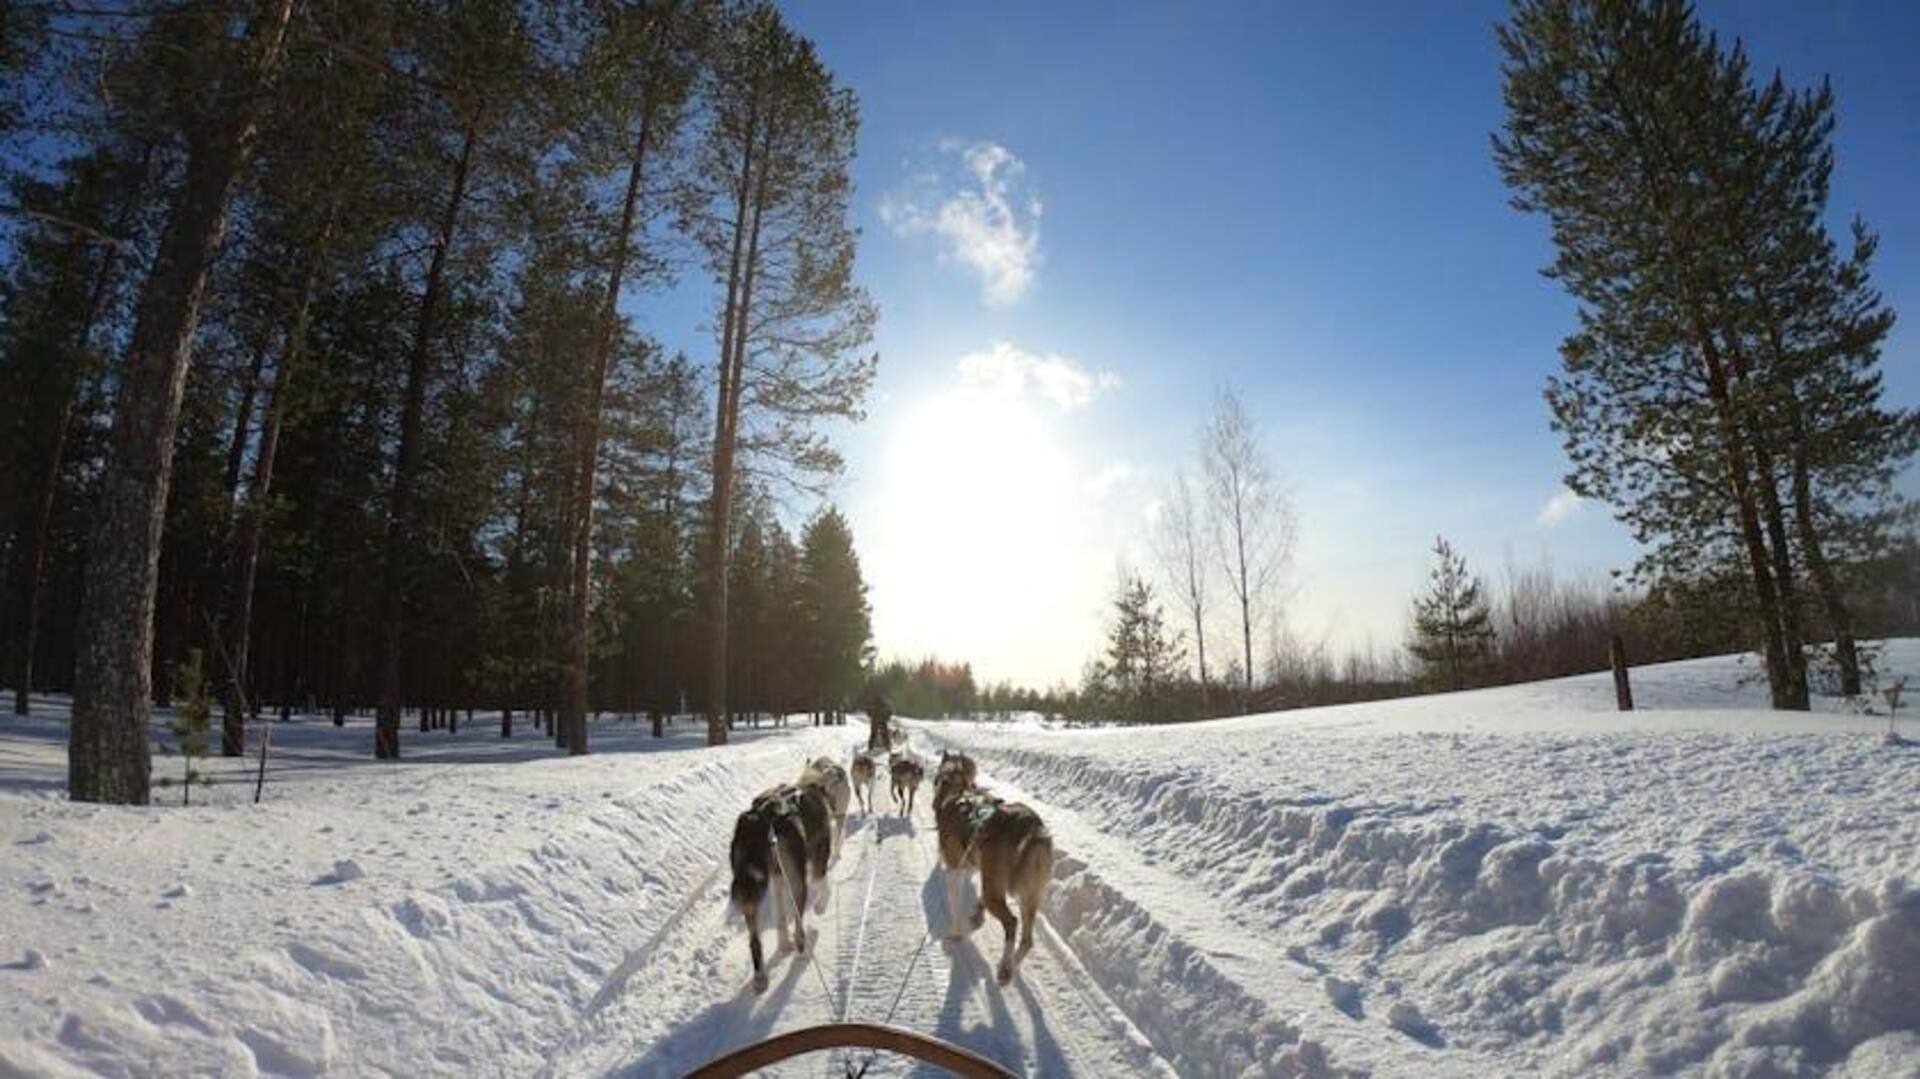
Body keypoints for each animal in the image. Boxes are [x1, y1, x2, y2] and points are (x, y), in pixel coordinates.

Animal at [725, 775, 833, 990]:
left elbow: (781, 916)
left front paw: (783, 944)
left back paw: (760, 977)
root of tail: (762, 817)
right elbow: (823, 884)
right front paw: (820, 907)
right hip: (798, 880)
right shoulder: (819, 857)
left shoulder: (777, 878)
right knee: (799, 927)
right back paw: (802, 952)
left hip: (752, 888)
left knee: (754, 941)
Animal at [929, 752, 1052, 979]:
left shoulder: (955, 870)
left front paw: (956, 933)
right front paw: (977, 911)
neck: (956, 792)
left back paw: (1004, 964)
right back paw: (1008, 968)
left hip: (998, 893)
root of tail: (1030, 827)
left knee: (1012, 923)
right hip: (1029, 895)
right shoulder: (976, 868)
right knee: (1027, 940)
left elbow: (955, 904)